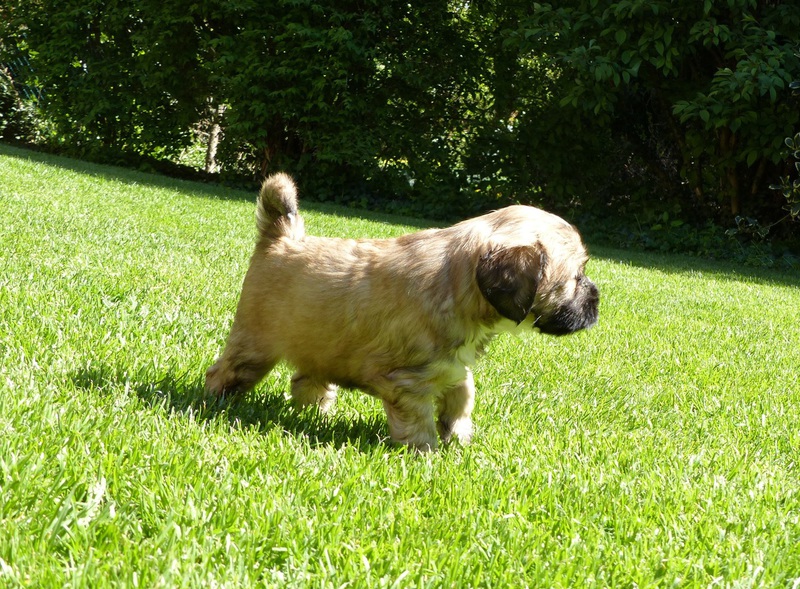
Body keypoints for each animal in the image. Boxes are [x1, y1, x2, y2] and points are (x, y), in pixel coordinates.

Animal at [205, 173, 599, 451]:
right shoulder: (407, 381)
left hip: (319, 341)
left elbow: (463, 392)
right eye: (576, 277)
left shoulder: (451, 366)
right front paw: (426, 453)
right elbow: (418, 421)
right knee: (225, 372)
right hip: (255, 344)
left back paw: (316, 411)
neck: (457, 283)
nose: (597, 301)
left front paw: (458, 436)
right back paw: (214, 403)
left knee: (307, 378)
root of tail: (281, 239)